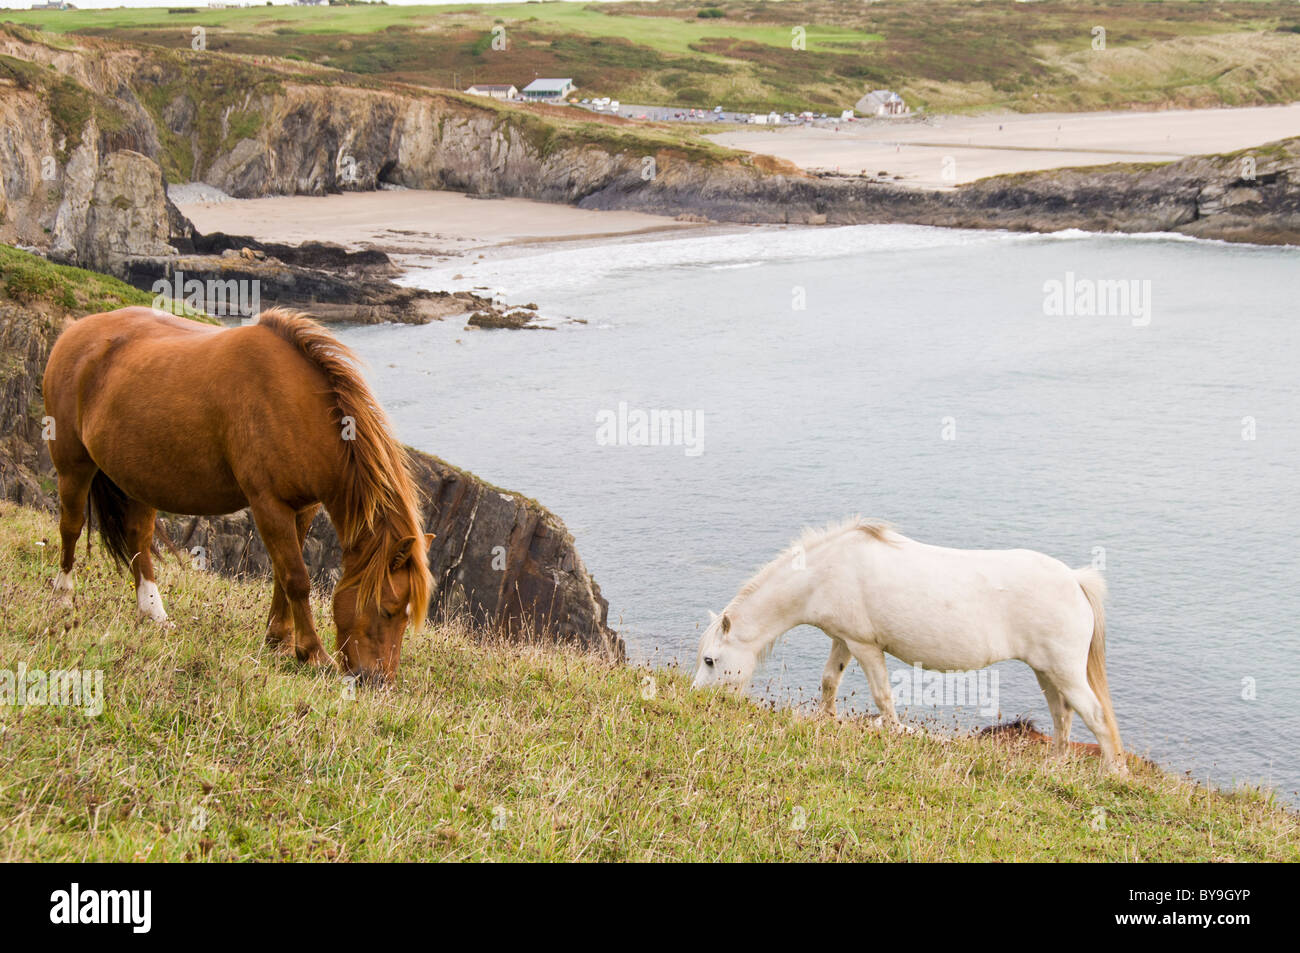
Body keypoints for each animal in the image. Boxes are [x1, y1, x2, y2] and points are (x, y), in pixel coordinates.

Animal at [41, 306, 431, 686]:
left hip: (137, 477)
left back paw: (154, 612)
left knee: (139, 538)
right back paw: (62, 597)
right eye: (387, 609)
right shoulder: (268, 504)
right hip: (73, 465)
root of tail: (74, 334)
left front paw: (279, 640)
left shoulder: (302, 508)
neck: (292, 404)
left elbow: (282, 576)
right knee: (71, 527)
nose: (378, 681)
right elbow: (296, 579)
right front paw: (312, 653)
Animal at [691, 520, 1128, 774]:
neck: (825, 571)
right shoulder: (843, 639)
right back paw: (1054, 765)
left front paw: (891, 734)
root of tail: (1075, 580)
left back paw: (1112, 774)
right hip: (1047, 670)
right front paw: (827, 720)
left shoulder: (865, 645)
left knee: (1095, 716)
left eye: (710, 660)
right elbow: (829, 682)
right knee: (1062, 714)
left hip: (1065, 670)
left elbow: (883, 697)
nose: (698, 701)